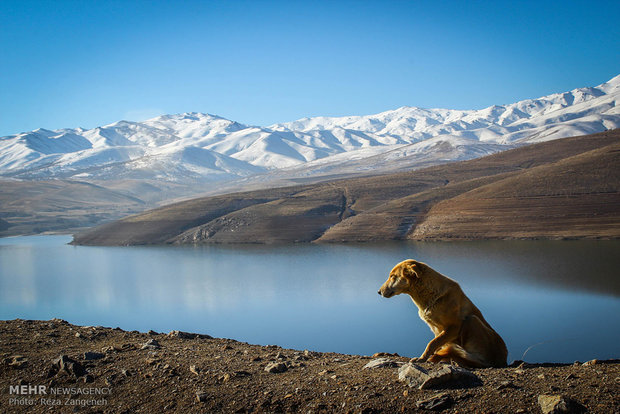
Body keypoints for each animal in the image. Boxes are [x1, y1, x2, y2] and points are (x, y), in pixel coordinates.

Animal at [378, 258, 508, 368]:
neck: (431, 296)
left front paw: (422, 359)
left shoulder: (454, 327)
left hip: (472, 320)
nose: (378, 292)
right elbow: (436, 344)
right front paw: (428, 357)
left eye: (393, 277)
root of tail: (504, 361)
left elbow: (432, 343)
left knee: (476, 361)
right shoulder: (436, 329)